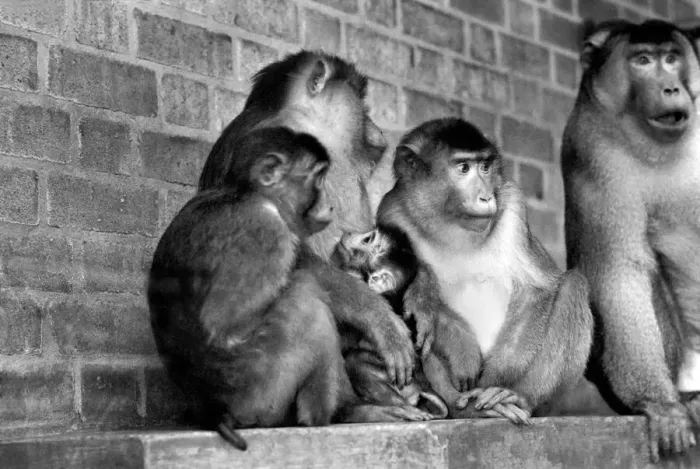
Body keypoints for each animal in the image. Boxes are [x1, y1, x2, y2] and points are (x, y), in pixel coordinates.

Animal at [148, 127, 427, 451]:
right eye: (317, 178)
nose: (329, 202)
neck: (251, 195)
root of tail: (213, 411)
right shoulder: (267, 230)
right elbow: (224, 319)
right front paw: (383, 322)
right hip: (258, 395)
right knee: (305, 302)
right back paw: (342, 413)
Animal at [375, 117, 594, 425]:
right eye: (464, 168)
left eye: (486, 167)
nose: (486, 197)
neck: (449, 226)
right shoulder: (391, 211)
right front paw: (457, 344)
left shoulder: (513, 203)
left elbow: (537, 290)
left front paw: (495, 382)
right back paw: (461, 408)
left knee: (574, 285)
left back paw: (517, 398)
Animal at [560, 19, 700, 461]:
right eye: (642, 61)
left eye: (671, 58)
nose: (670, 87)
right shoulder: (595, 150)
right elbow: (620, 269)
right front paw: (659, 405)